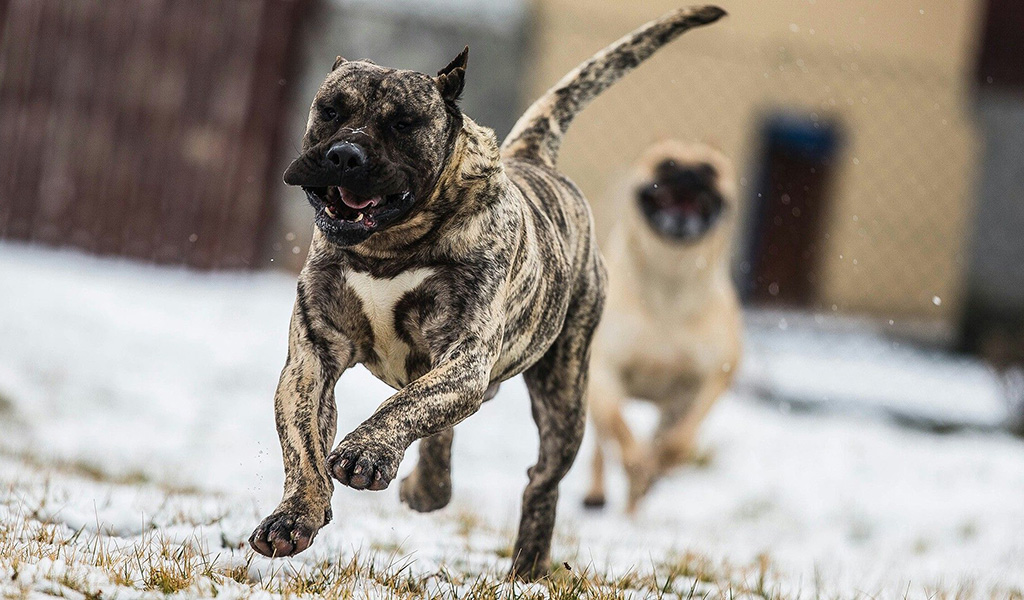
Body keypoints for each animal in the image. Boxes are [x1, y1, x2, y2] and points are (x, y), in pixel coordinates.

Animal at [247, 3, 729, 573]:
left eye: (404, 124)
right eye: (329, 111)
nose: (345, 154)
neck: (390, 247)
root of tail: (536, 158)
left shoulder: (466, 356)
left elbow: (404, 405)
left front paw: (365, 451)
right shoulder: (313, 358)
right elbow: (304, 445)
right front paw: (294, 516)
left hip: (566, 395)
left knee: (542, 480)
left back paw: (528, 564)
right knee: (442, 435)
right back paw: (427, 488)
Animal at [585, 139, 745, 509]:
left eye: (710, 170)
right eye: (666, 164)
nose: (688, 175)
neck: (670, 277)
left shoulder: (710, 379)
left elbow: (681, 440)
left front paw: (659, 466)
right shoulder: (604, 370)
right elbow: (616, 424)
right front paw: (635, 461)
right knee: (600, 439)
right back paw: (599, 492)